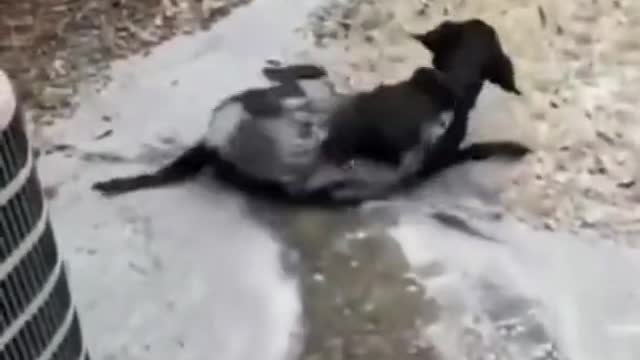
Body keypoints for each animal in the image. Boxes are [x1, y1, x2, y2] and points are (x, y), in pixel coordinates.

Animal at [91, 18, 528, 204]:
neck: (445, 84)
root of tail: (215, 140)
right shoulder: (437, 162)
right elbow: (477, 148)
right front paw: (514, 147)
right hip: (311, 93)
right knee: (309, 73)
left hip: (310, 90)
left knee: (303, 73)